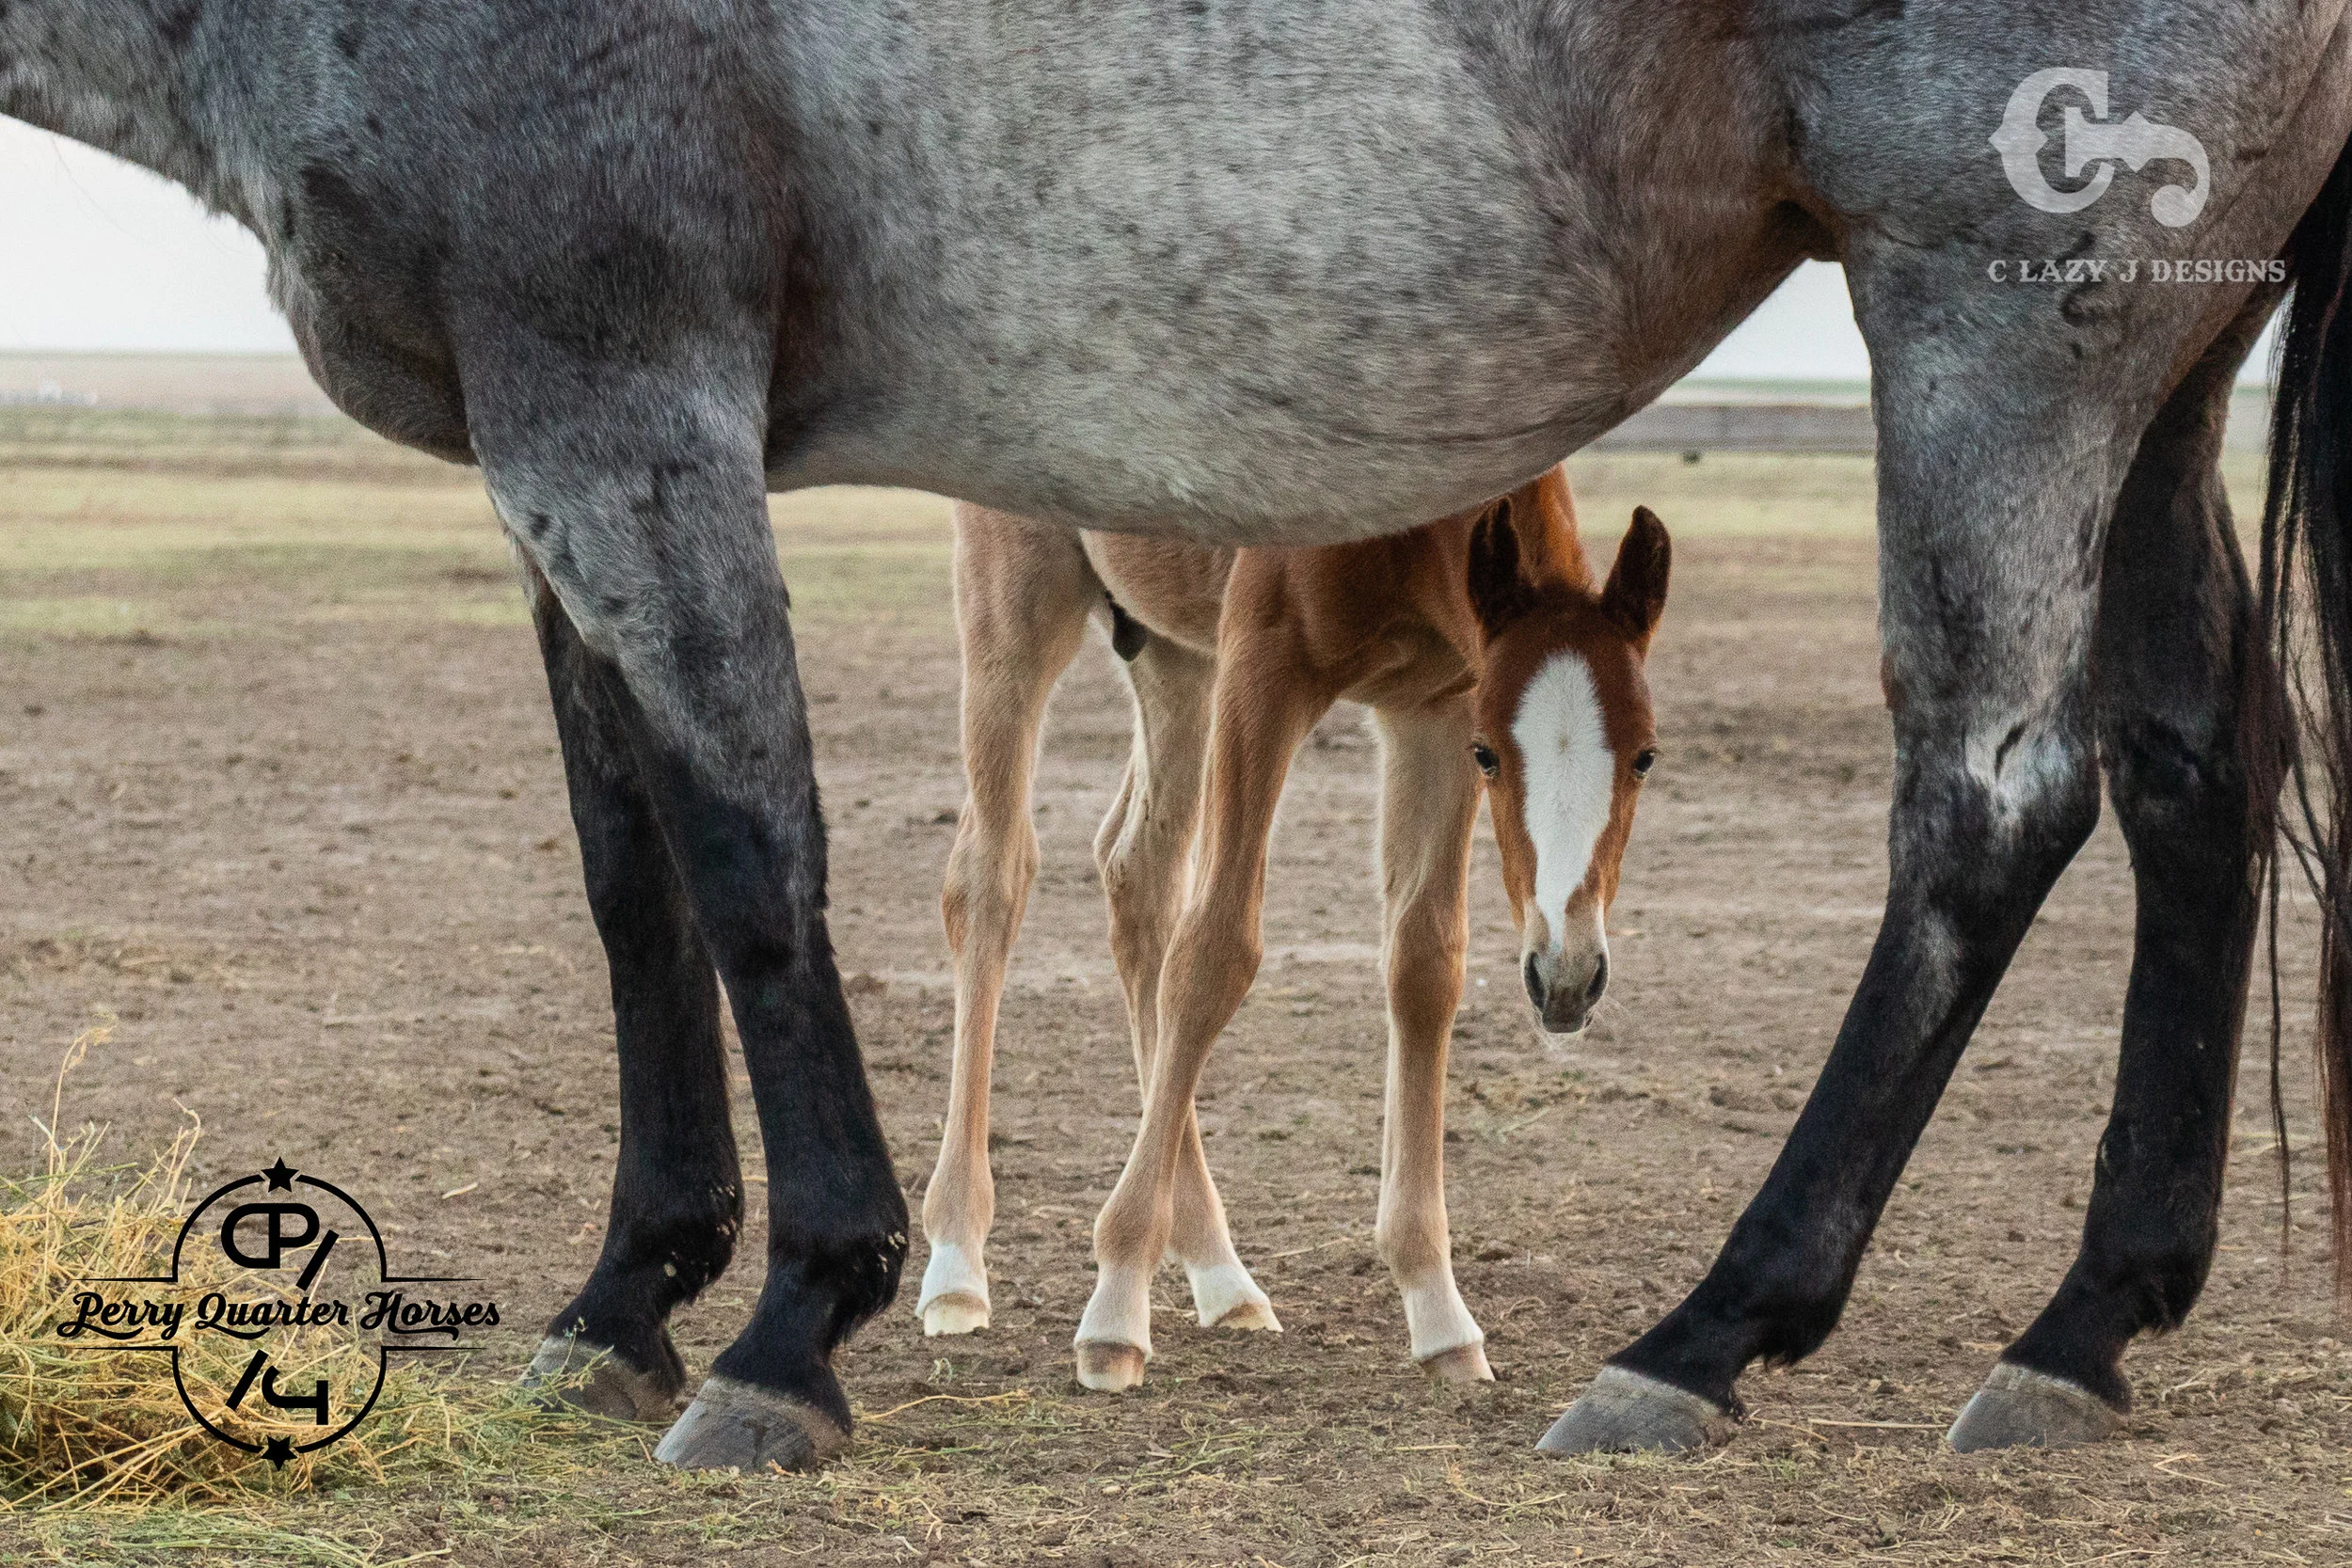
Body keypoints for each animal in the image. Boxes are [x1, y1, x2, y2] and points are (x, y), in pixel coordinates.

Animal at [920, 468, 1667, 1390]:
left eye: (1646, 755)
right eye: (1492, 753)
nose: (1567, 977)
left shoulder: (1434, 705)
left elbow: (1425, 965)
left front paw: (1439, 1310)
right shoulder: (1266, 671)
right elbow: (1216, 952)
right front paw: (1116, 1305)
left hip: (1172, 653)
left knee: (1139, 874)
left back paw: (1221, 1272)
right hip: (1021, 608)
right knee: (990, 879)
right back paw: (957, 1262)